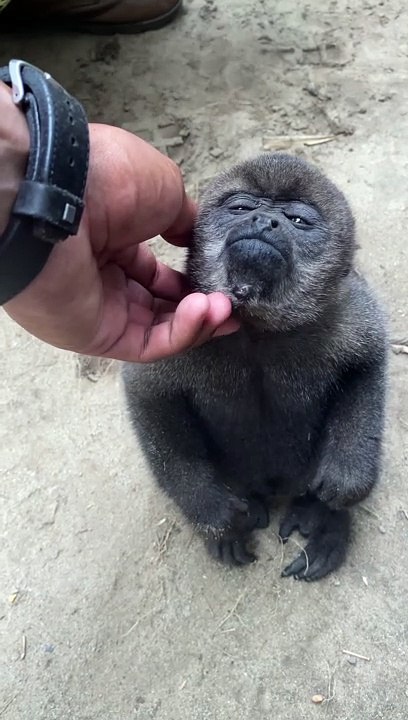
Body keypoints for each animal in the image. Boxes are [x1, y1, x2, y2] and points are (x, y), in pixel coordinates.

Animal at [122, 152, 387, 581]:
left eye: (297, 219)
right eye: (242, 208)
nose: (265, 222)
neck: (256, 329)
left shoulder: (347, 310)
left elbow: (368, 363)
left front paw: (347, 480)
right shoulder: (177, 320)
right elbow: (147, 395)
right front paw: (210, 511)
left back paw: (325, 520)